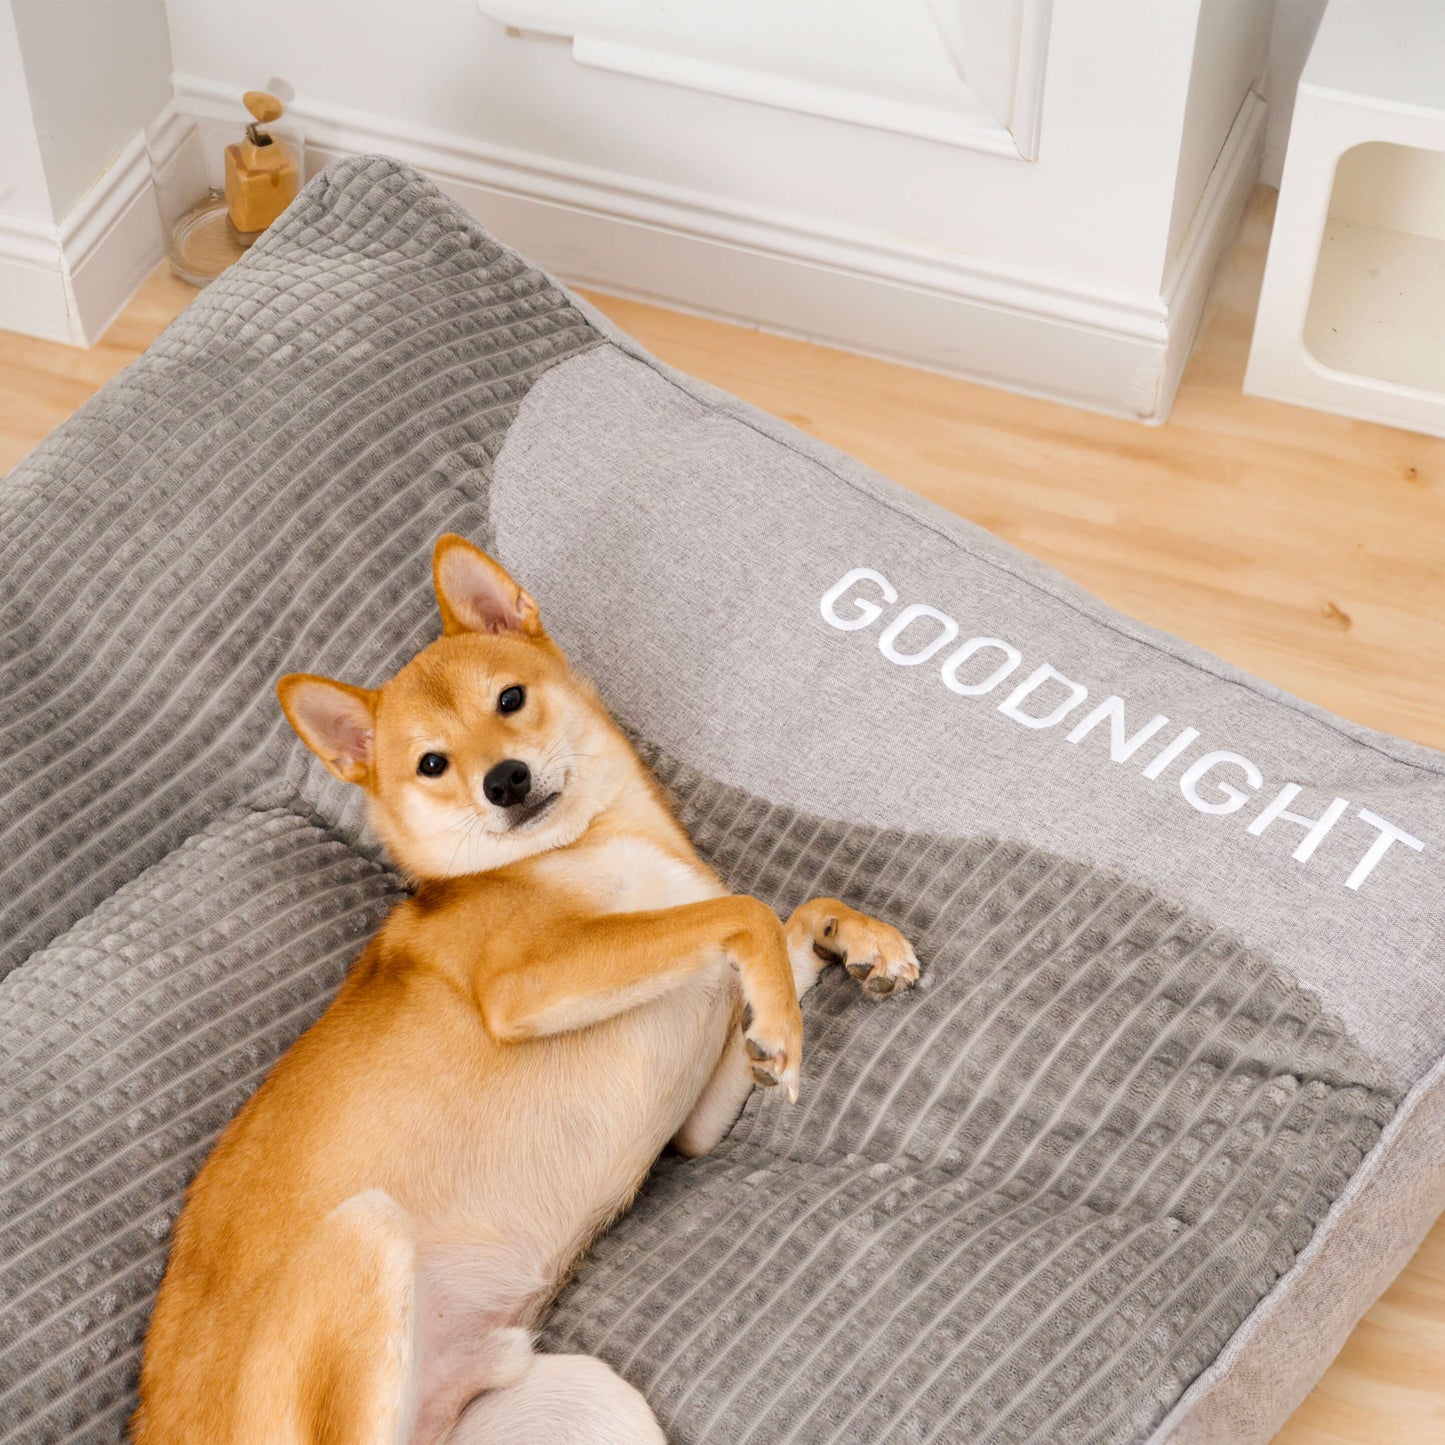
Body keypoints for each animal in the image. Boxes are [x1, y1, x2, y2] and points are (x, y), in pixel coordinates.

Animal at [137, 537, 924, 1439]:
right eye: (431, 764)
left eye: (509, 699)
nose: (505, 780)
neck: (585, 843)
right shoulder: (525, 984)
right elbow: (745, 909)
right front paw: (788, 1021)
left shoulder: (693, 1125)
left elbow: (792, 917)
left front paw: (854, 943)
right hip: (366, 1234)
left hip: (591, 1400)